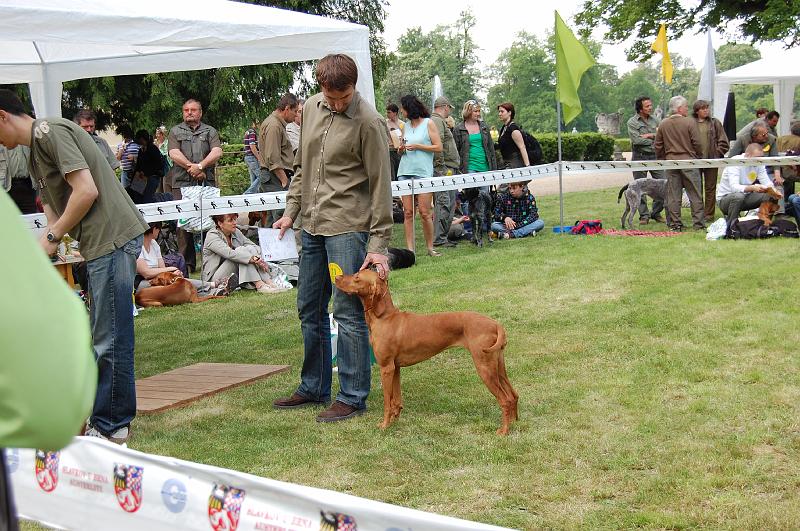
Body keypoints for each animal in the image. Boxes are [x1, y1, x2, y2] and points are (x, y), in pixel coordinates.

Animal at [332, 270, 520, 436]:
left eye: (357, 277)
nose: (337, 276)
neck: (385, 317)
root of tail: (495, 324)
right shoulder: (395, 368)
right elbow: (396, 400)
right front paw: (395, 420)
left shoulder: (386, 368)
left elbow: (387, 402)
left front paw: (385, 425)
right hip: (497, 366)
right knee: (513, 395)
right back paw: (513, 423)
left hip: (484, 368)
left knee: (504, 400)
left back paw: (503, 431)